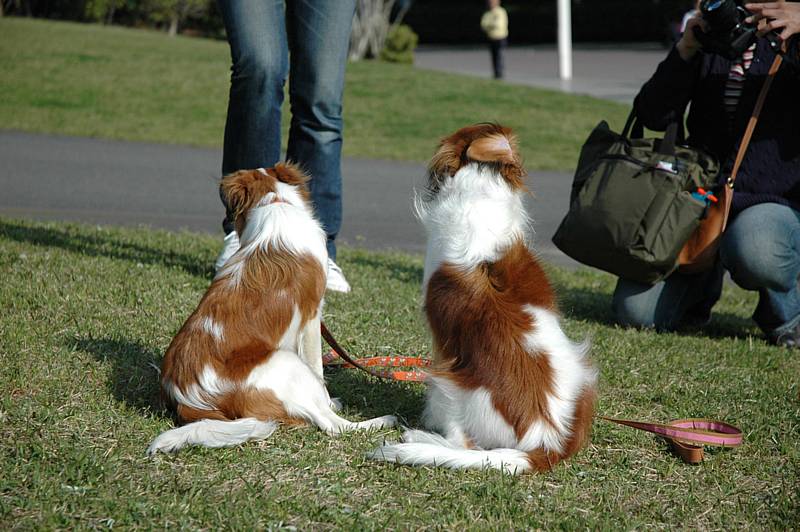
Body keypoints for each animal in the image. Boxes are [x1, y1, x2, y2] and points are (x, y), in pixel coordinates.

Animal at [148, 163, 396, 454]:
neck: (276, 202)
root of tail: (188, 401)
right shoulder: (312, 318)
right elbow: (318, 371)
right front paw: (328, 397)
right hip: (285, 361)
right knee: (333, 425)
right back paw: (381, 420)